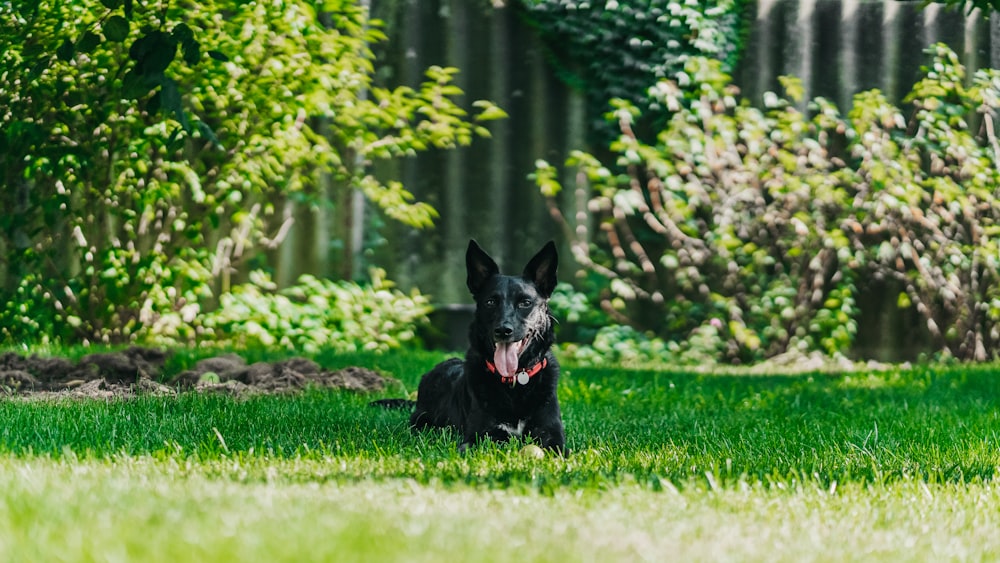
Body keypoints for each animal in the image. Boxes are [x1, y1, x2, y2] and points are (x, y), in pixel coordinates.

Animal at [374, 241, 568, 454]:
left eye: (525, 303)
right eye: (490, 302)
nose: (503, 330)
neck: (515, 382)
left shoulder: (551, 432)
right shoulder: (482, 434)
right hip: (422, 420)